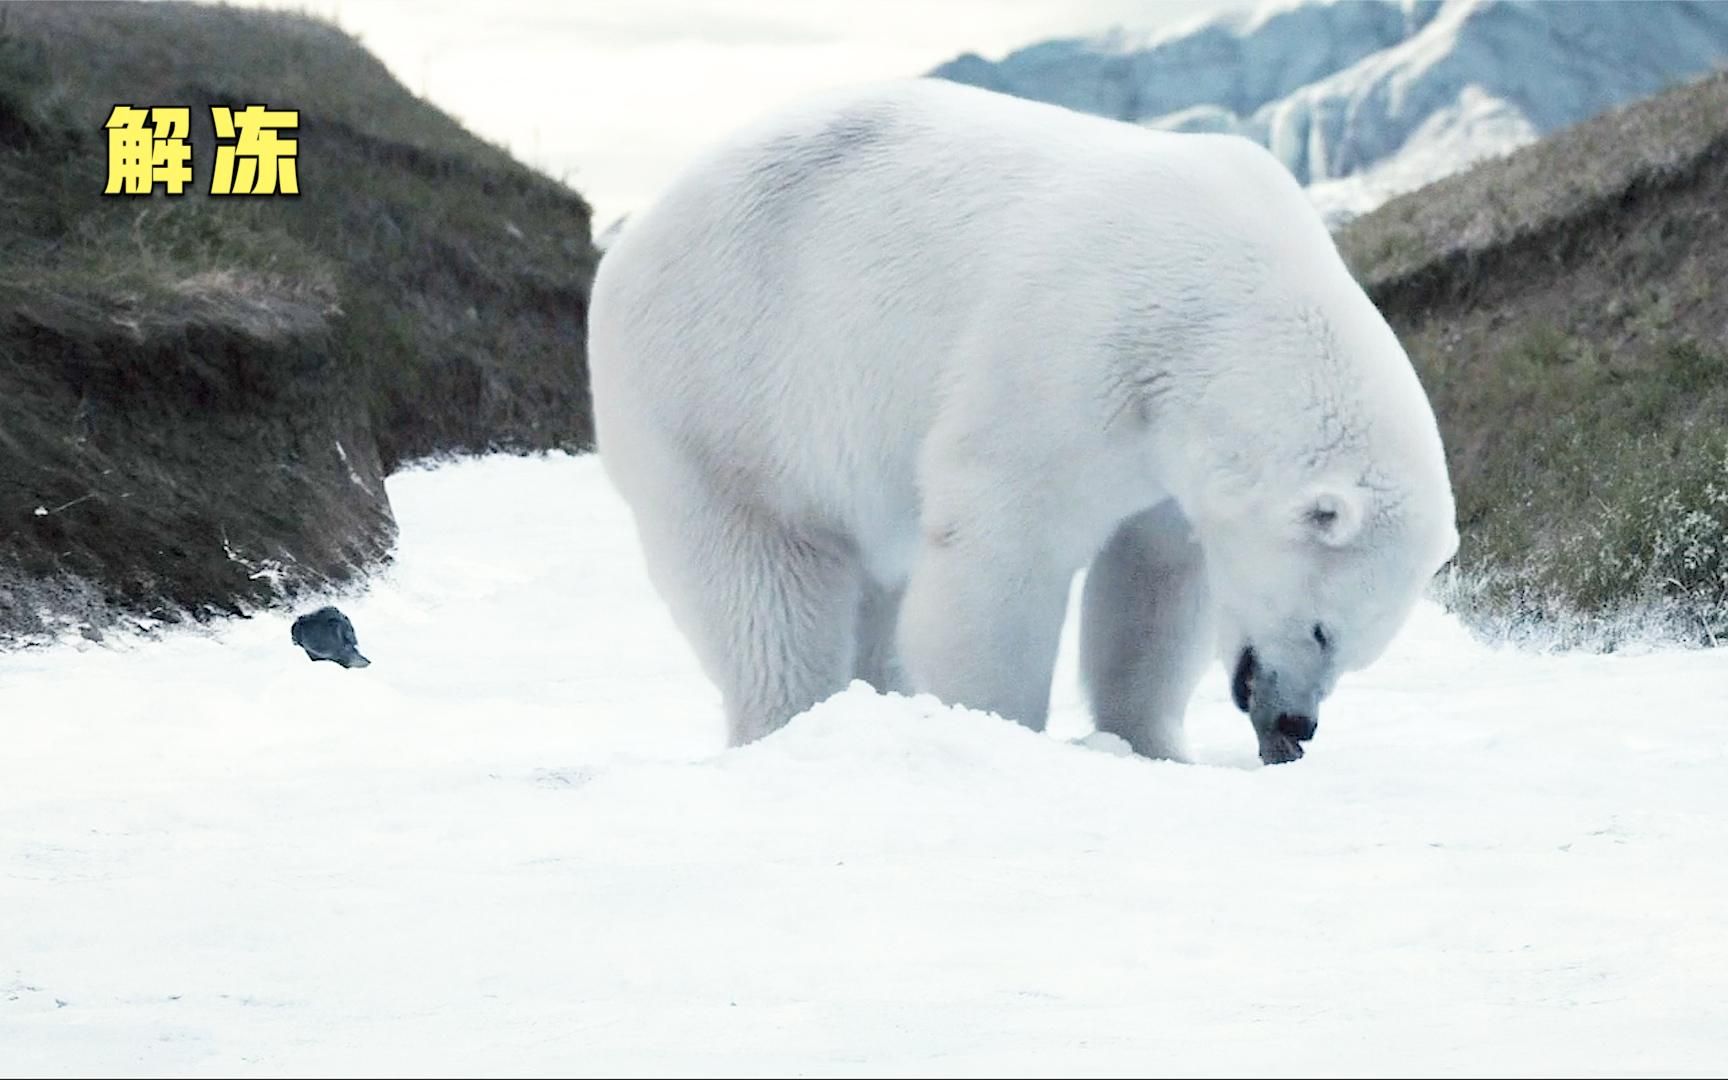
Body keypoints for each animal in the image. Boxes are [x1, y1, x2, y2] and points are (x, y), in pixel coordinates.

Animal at [584, 77, 1458, 767]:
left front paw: (1153, 745)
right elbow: (1003, 549)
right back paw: (794, 720)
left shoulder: (1167, 463)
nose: (1295, 723)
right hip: (730, 386)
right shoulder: (1071, 354)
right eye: (1322, 630)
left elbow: (1151, 584)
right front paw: (999, 729)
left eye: (1360, 647)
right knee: (764, 584)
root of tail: (633, 241)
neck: (1223, 314)